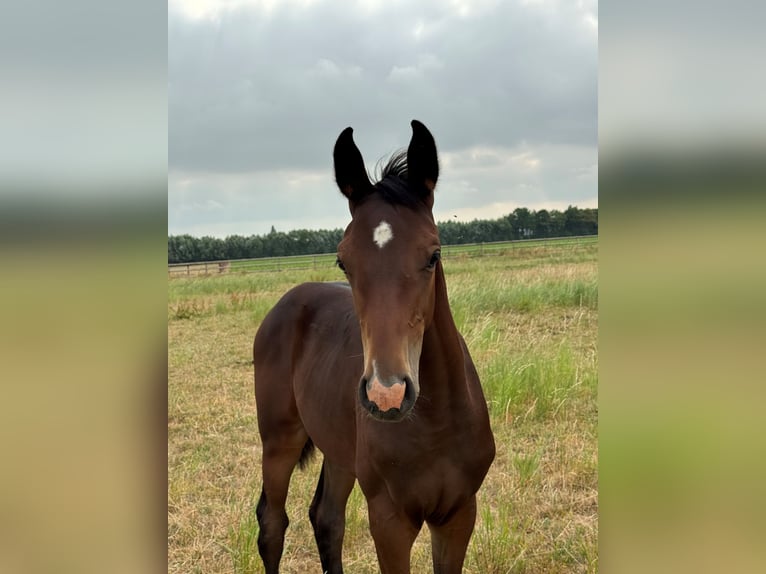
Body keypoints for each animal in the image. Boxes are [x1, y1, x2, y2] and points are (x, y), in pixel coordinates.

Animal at [253, 120, 495, 573]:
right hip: (278, 440)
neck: (434, 423)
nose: (387, 395)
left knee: (326, 518)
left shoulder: (458, 514)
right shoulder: (389, 519)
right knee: (272, 524)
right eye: (343, 261)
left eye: (433, 255)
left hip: (338, 450)